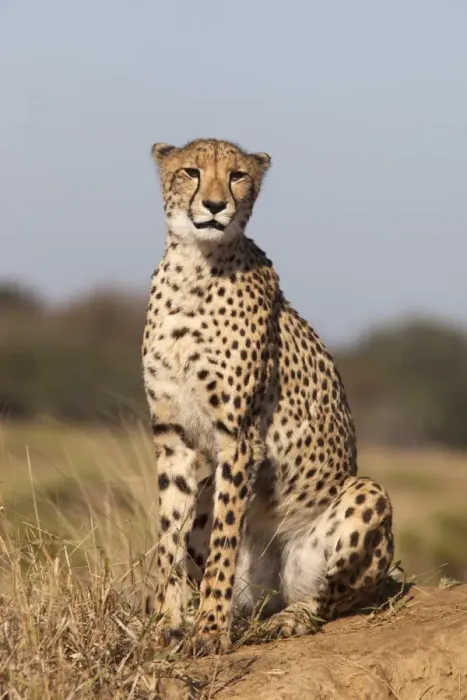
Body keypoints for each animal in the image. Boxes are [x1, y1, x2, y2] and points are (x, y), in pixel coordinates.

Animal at [142, 137, 394, 657]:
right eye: (191, 172)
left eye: (237, 175)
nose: (215, 205)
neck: (193, 266)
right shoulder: (172, 435)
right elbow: (169, 533)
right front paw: (168, 625)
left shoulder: (239, 438)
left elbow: (224, 542)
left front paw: (210, 632)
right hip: (210, 494)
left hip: (365, 495)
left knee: (329, 600)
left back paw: (288, 620)